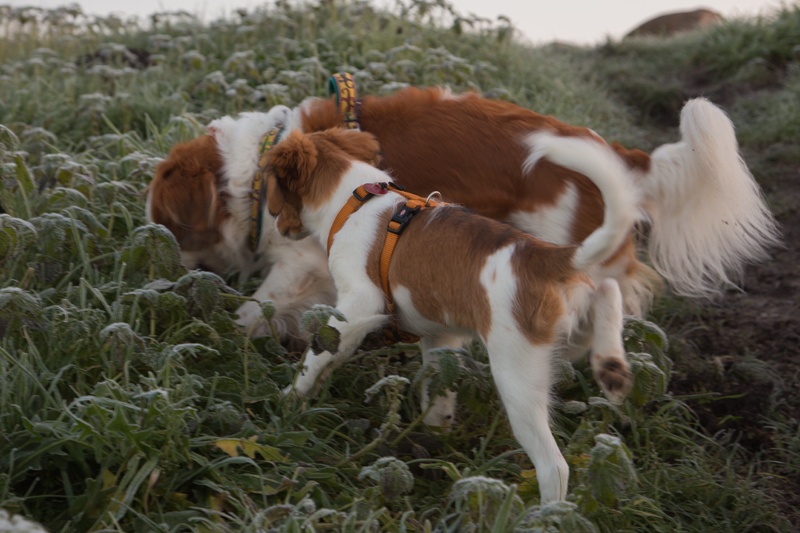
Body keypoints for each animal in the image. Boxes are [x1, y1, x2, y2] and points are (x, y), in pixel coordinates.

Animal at [147, 87, 780, 348]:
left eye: (171, 229)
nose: (170, 273)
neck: (255, 170)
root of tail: (617, 156)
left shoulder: (306, 257)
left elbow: (260, 305)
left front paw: (228, 338)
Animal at [266, 127, 640, 500]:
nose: (277, 225)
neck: (355, 201)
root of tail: (543, 256)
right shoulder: (440, 335)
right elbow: (437, 391)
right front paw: (433, 438)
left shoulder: (360, 305)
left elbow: (319, 352)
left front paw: (289, 399)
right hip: (571, 333)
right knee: (608, 290)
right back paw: (612, 367)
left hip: (518, 372)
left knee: (554, 467)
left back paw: (547, 510)